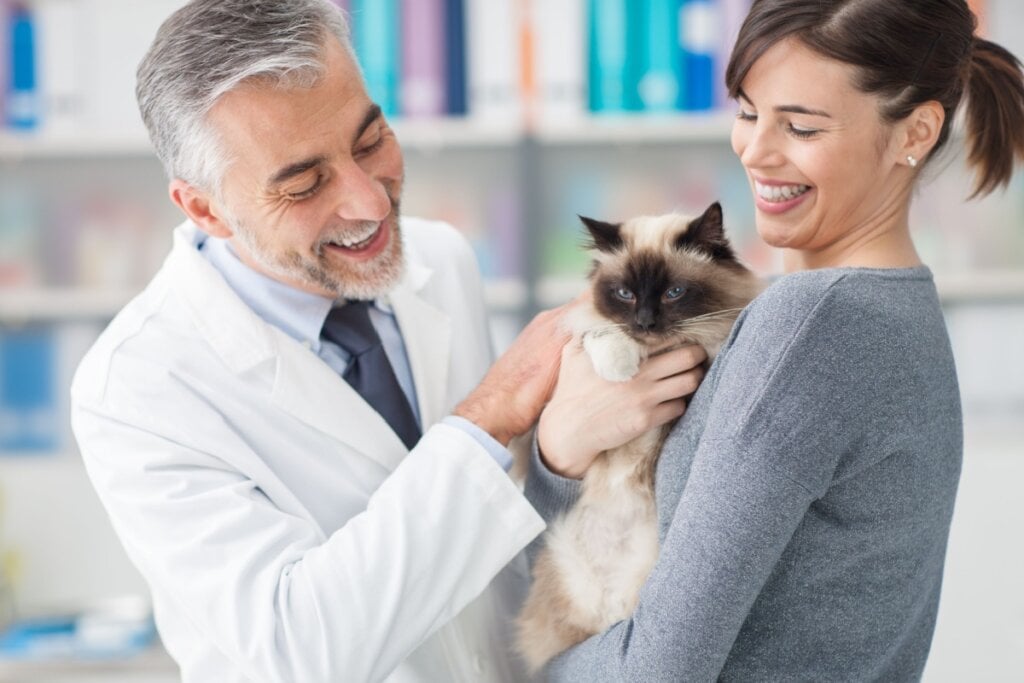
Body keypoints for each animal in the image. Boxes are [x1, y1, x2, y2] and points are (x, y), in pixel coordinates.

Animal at [512, 198, 761, 671]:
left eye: (673, 293)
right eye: (625, 294)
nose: (644, 323)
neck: (656, 352)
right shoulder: (581, 337)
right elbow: (602, 333)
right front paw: (620, 369)